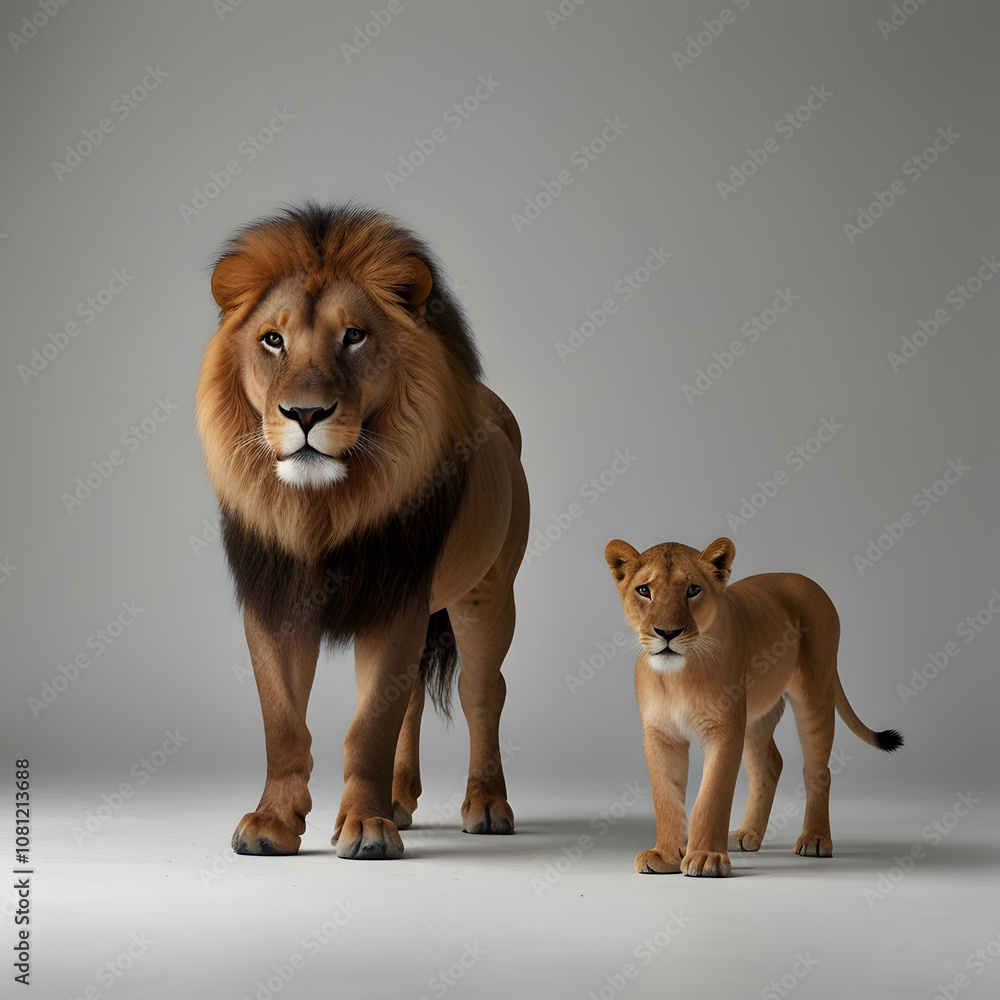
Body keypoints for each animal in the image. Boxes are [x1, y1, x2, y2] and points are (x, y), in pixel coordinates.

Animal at [196, 202, 529, 859]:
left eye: (354, 336)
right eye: (272, 340)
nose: (304, 413)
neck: (321, 509)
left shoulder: (398, 598)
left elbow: (371, 721)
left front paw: (367, 830)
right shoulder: (275, 600)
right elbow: (283, 722)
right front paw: (272, 825)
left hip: (487, 594)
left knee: (483, 694)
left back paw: (486, 806)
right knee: (413, 703)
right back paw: (398, 802)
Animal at [604, 537, 902, 877]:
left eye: (693, 590)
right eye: (644, 590)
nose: (667, 633)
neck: (679, 676)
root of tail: (806, 581)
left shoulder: (725, 729)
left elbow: (712, 795)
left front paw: (705, 858)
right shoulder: (660, 734)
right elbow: (665, 797)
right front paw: (665, 856)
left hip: (815, 693)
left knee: (817, 769)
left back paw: (815, 839)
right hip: (757, 716)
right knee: (769, 765)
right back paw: (748, 834)